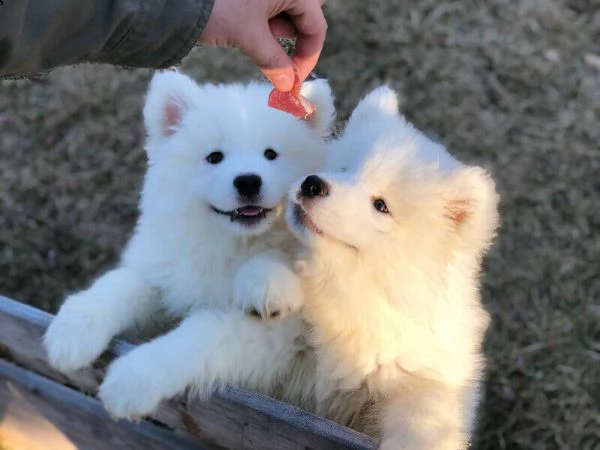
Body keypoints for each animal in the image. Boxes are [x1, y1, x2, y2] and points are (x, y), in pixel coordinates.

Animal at [44, 69, 336, 418]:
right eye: (214, 157)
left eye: (271, 154)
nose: (248, 181)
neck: (230, 244)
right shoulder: (167, 270)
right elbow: (121, 283)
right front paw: (72, 330)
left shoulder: (281, 337)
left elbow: (201, 334)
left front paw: (132, 379)